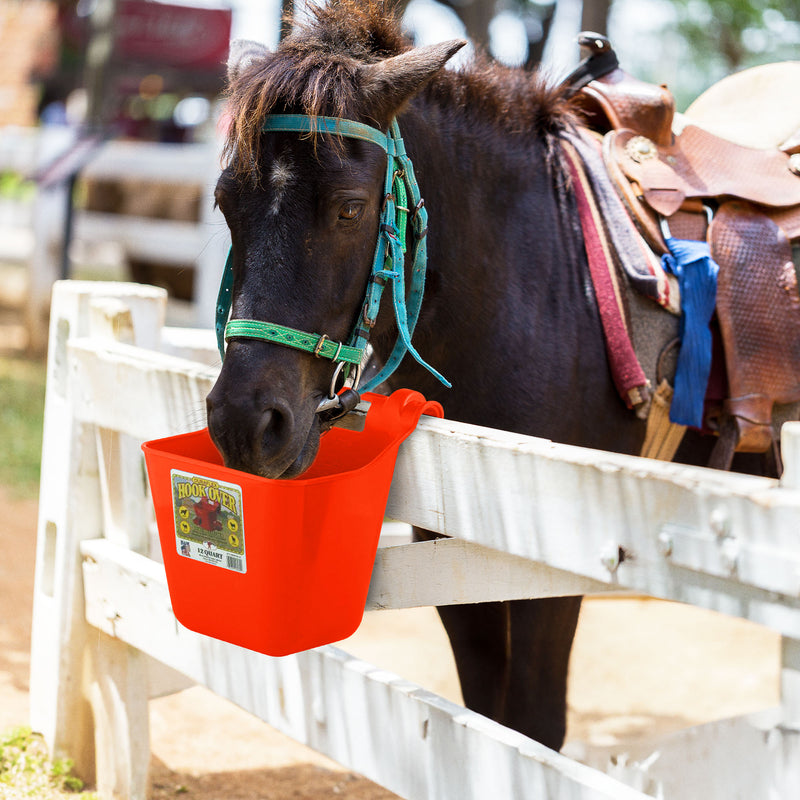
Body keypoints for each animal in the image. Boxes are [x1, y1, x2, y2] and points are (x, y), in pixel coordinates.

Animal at [205, 0, 792, 752]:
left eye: (349, 206)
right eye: (226, 203)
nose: (245, 422)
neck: (539, 278)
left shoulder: (557, 564)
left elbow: (534, 727)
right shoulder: (449, 547)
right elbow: (487, 715)